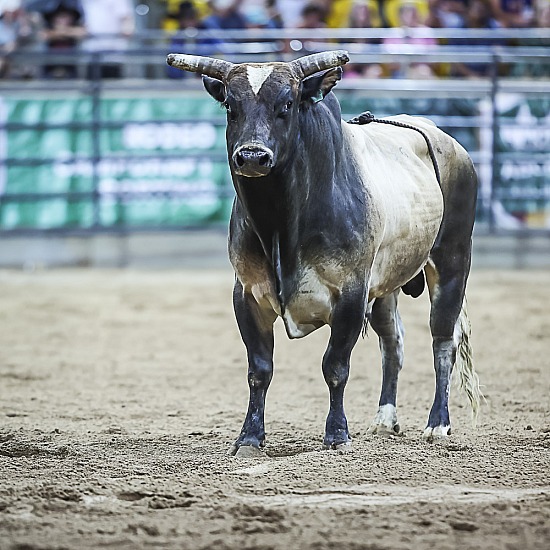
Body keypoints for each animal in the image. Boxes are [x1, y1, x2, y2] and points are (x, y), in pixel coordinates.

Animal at [167, 50, 484, 458]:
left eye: (286, 104)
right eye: (230, 107)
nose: (252, 156)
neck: (280, 223)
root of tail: (453, 146)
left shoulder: (350, 293)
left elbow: (335, 366)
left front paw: (336, 434)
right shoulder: (247, 293)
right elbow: (260, 369)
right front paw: (250, 437)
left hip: (452, 261)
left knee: (443, 339)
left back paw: (438, 423)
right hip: (385, 285)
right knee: (393, 342)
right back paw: (385, 420)